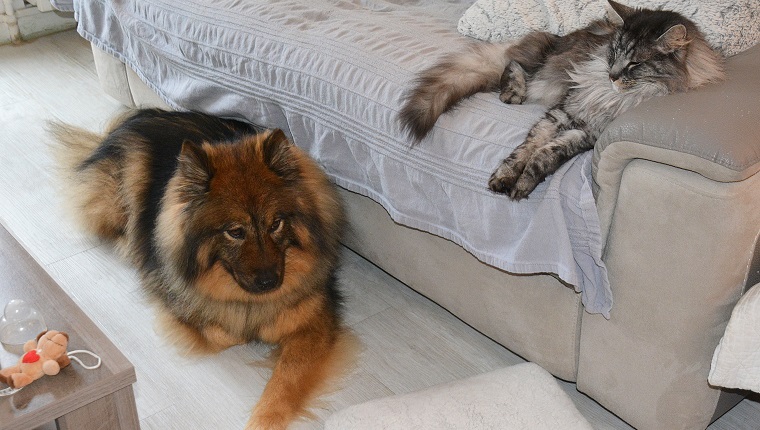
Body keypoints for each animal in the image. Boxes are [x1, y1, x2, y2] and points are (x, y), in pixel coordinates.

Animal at [53, 110, 356, 430]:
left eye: (276, 224)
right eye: (235, 232)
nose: (269, 282)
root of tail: (140, 115)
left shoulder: (315, 326)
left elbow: (285, 380)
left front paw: (264, 419)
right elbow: (223, 331)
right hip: (118, 199)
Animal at [398, 0, 724, 202]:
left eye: (634, 64)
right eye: (613, 53)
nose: (611, 75)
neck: (611, 98)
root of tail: (557, 37)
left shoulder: (585, 135)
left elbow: (544, 156)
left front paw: (522, 184)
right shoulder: (561, 113)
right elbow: (523, 150)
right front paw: (505, 176)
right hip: (543, 61)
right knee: (513, 63)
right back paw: (513, 91)